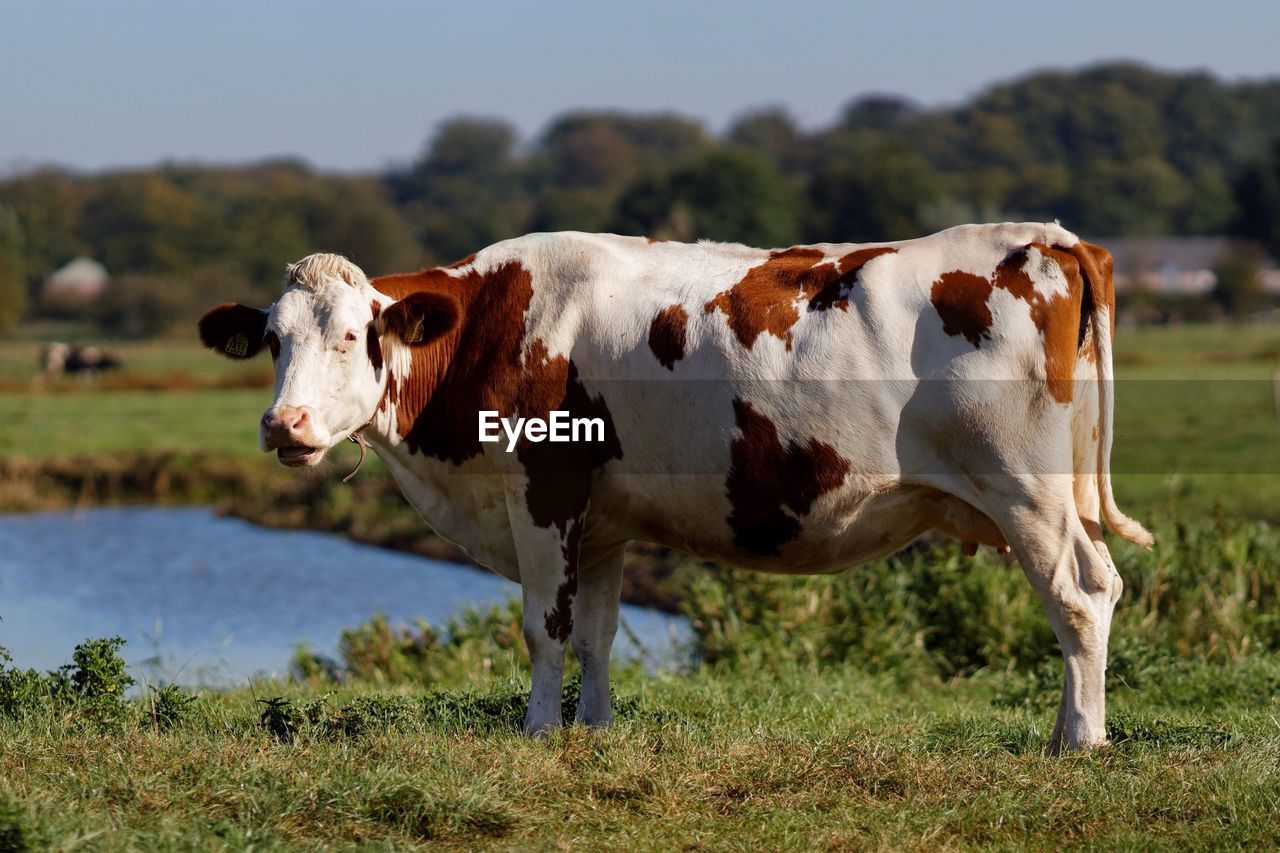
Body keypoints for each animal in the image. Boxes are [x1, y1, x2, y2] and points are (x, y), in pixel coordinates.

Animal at [197, 220, 1152, 753]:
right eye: (275, 341)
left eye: (354, 336)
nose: (284, 426)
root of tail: (1051, 235)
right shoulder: (603, 518)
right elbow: (596, 633)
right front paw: (592, 732)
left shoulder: (542, 490)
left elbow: (544, 628)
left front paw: (538, 734)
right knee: (1090, 590)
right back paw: (1067, 729)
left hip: (1025, 487)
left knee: (1079, 594)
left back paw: (1081, 740)